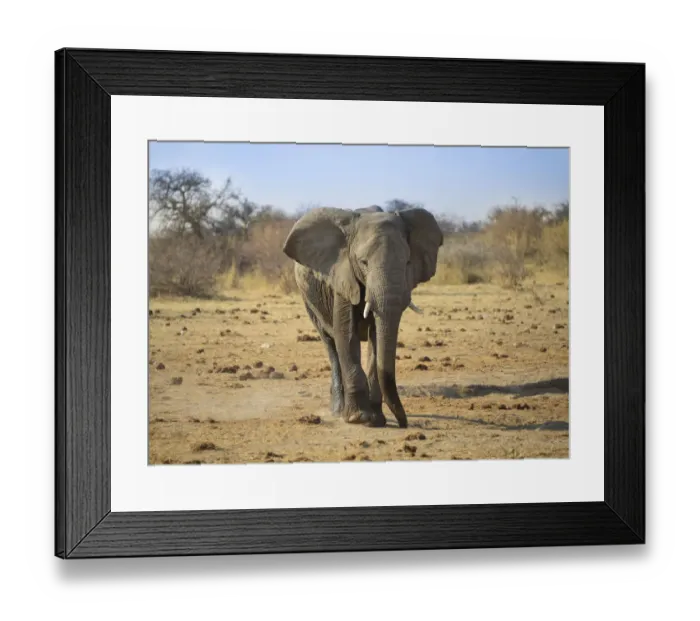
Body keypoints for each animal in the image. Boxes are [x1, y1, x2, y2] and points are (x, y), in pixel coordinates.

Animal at [282, 205, 443, 428]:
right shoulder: (342, 277)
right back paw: (338, 410)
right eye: (363, 262)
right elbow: (345, 334)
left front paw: (377, 420)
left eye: (408, 262)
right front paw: (360, 419)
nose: (403, 423)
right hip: (308, 300)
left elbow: (376, 338)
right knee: (331, 344)